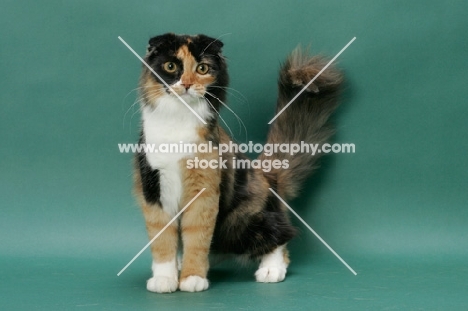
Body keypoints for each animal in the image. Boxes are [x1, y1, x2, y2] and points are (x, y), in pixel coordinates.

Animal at [133, 33, 342, 294]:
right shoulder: (152, 188)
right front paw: (165, 278)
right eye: (170, 67)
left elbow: (197, 237)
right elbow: (162, 240)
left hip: (242, 220)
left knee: (280, 238)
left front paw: (192, 278)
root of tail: (267, 177)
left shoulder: (204, 192)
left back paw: (270, 270)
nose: (187, 85)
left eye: (202, 69)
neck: (176, 122)